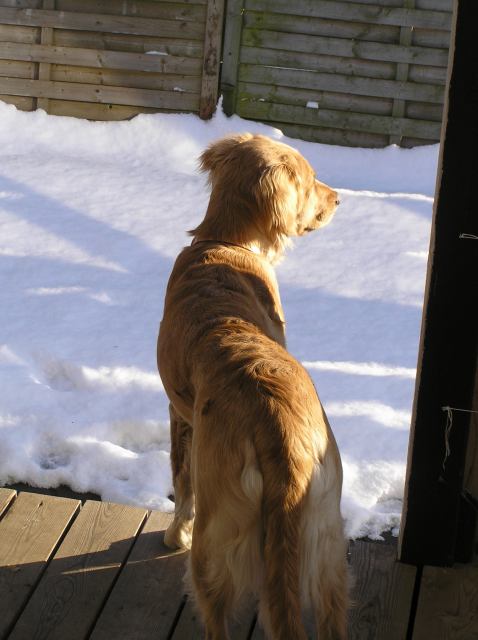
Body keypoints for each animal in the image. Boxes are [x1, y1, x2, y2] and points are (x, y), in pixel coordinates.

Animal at [157, 133, 348, 639]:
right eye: (310, 180)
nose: (338, 198)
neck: (226, 244)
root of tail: (281, 437)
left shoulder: (177, 414)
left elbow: (180, 480)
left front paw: (173, 535)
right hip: (327, 544)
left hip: (216, 538)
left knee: (216, 613)